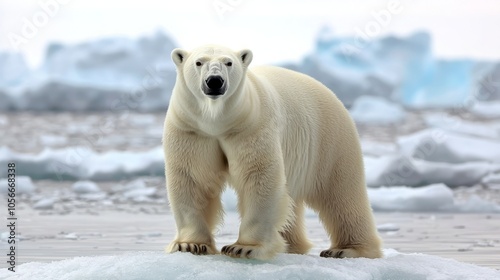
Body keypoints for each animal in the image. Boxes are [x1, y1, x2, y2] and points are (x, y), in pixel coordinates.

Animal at [162, 44, 380, 260]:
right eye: (199, 62)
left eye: (228, 62)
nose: (214, 81)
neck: (217, 122)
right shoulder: (192, 130)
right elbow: (193, 179)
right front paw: (190, 245)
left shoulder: (251, 127)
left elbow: (258, 176)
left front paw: (244, 248)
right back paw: (292, 246)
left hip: (329, 141)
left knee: (342, 194)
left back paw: (347, 249)